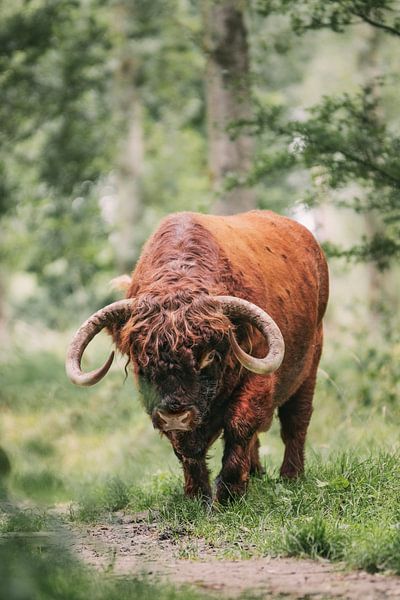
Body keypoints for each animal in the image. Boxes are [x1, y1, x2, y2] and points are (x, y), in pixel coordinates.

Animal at [65, 210, 328, 502]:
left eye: (209, 356)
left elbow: (241, 424)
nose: (175, 415)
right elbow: (186, 446)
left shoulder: (258, 378)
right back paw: (257, 473)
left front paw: (228, 493)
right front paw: (196, 495)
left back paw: (291, 475)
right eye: (141, 358)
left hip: (310, 364)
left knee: (296, 420)